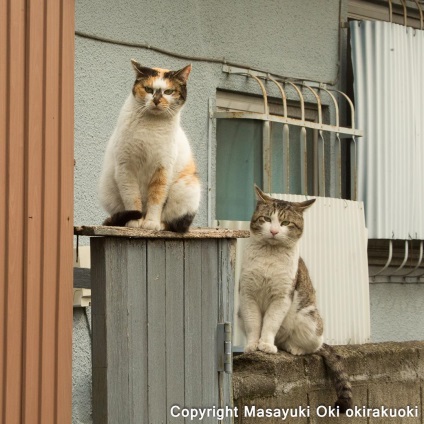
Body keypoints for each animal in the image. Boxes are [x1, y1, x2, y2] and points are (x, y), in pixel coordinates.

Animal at [97, 59, 200, 232]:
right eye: (148, 89)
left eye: (169, 92)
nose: (156, 100)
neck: (151, 126)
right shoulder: (126, 167)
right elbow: (132, 196)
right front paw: (135, 222)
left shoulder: (163, 168)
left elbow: (157, 197)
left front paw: (151, 223)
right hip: (107, 188)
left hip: (187, 187)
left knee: (179, 225)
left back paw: (161, 225)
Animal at [240, 186, 352, 410]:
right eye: (267, 219)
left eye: (285, 223)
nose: (274, 231)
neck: (270, 256)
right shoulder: (248, 294)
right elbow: (254, 323)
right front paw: (252, 345)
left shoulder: (283, 296)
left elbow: (270, 322)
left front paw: (265, 345)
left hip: (309, 319)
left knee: (315, 346)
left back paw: (295, 348)